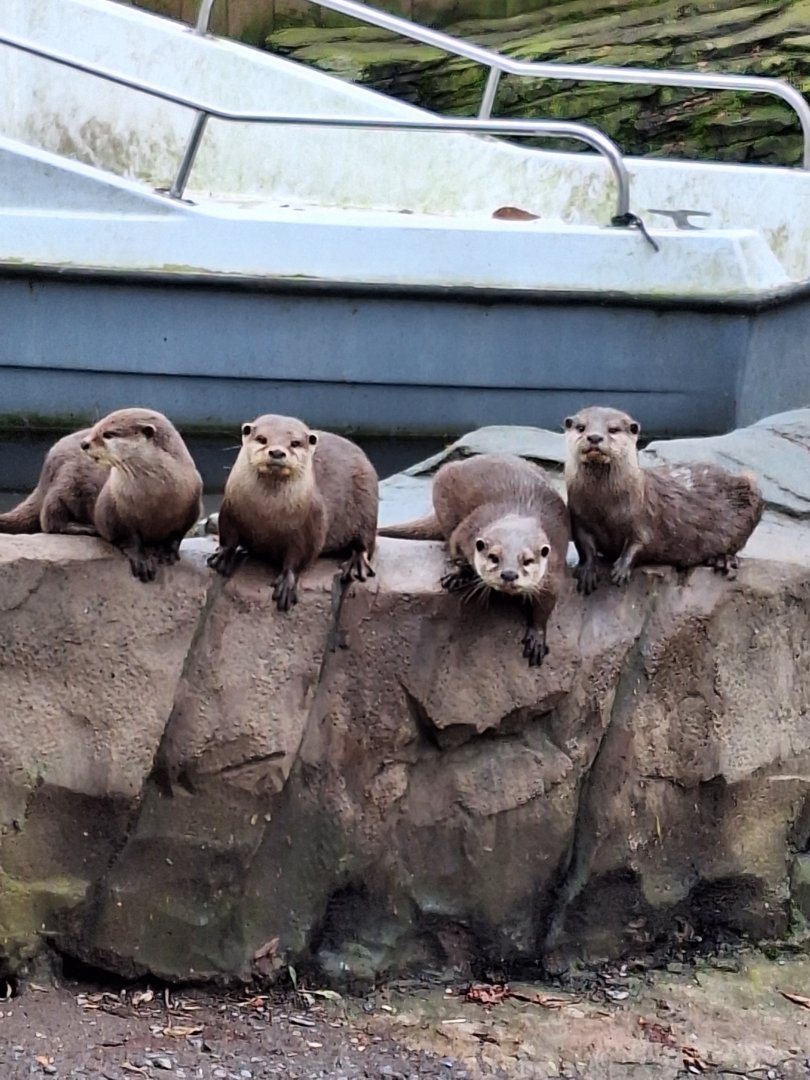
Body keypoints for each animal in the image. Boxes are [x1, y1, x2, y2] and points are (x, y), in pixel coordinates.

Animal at [207, 414, 378, 612]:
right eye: (262, 439)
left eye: (295, 443)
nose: (276, 452)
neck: (267, 512)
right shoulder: (230, 509)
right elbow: (228, 537)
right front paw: (221, 556)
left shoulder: (308, 528)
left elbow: (298, 558)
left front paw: (287, 583)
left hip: (368, 504)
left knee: (366, 542)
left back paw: (357, 564)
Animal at [379, 454, 570, 667]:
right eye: (494, 557)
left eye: (527, 560)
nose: (509, 574)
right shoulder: (466, 531)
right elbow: (456, 548)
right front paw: (459, 575)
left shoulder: (554, 566)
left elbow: (546, 605)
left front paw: (537, 637)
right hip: (443, 485)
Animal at [564, 405, 764, 595]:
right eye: (581, 427)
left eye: (613, 429)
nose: (594, 437)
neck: (604, 508)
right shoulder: (580, 518)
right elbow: (585, 545)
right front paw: (588, 570)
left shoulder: (643, 517)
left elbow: (640, 542)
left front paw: (621, 568)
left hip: (751, 489)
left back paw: (722, 560)